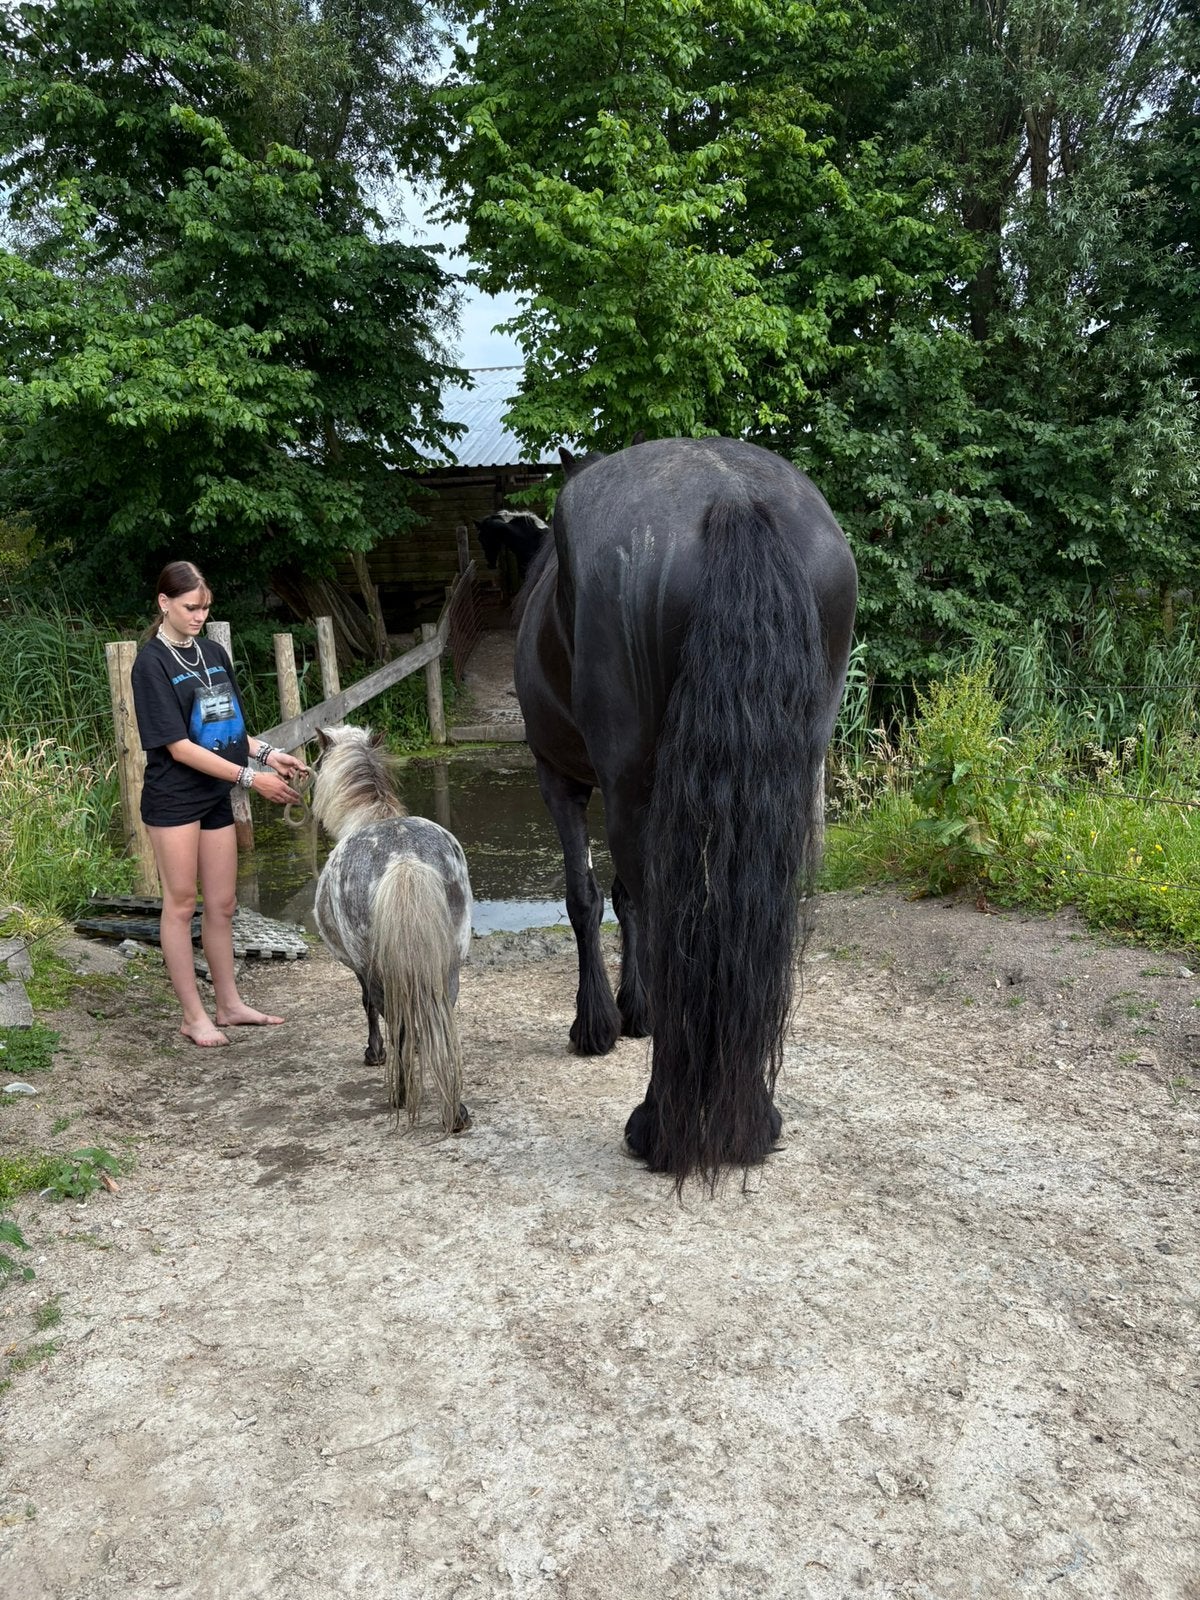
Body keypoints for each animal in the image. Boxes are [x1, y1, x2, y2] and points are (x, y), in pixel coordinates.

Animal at [311, 724, 474, 1134]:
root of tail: (404, 860)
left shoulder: (361, 971)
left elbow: (367, 1006)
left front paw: (374, 1052)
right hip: (449, 966)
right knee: (439, 1018)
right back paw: (455, 1110)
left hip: (379, 970)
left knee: (395, 1023)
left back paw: (401, 1094)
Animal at [514, 436, 858, 1188]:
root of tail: (730, 497)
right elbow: (620, 900)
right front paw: (632, 1009)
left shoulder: (563, 780)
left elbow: (587, 897)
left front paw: (598, 1022)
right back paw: (750, 1119)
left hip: (629, 786)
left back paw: (660, 1125)